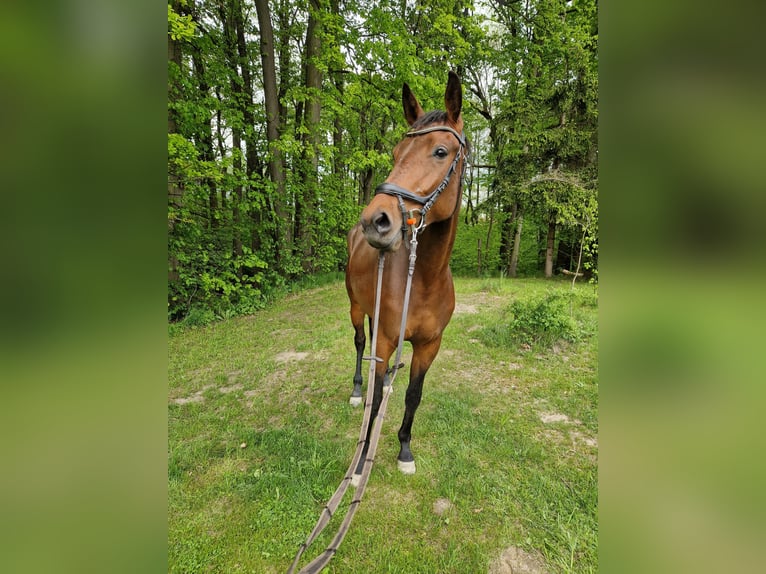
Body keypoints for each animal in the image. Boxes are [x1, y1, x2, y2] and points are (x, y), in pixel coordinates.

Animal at [344, 71, 468, 479]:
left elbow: (413, 394)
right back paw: (356, 389)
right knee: (359, 344)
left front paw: (404, 449)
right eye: (396, 154)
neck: (424, 279)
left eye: (440, 152)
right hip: (355, 308)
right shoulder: (385, 340)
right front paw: (362, 458)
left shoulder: (430, 345)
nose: (376, 220)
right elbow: (375, 399)